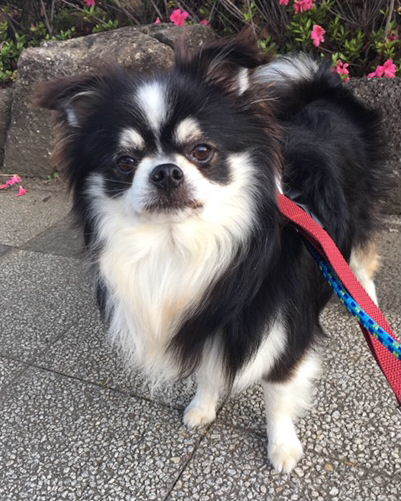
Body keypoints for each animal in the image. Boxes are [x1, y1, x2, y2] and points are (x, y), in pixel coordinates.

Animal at [35, 36, 389, 473]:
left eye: (202, 150)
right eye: (125, 162)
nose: (166, 172)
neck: (179, 245)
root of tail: (322, 94)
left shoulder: (287, 333)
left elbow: (278, 393)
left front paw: (282, 447)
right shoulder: (203, 320)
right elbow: (208, 371)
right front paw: (202, 408)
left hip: (361, 211)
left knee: (363, 256)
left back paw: (363, 300)